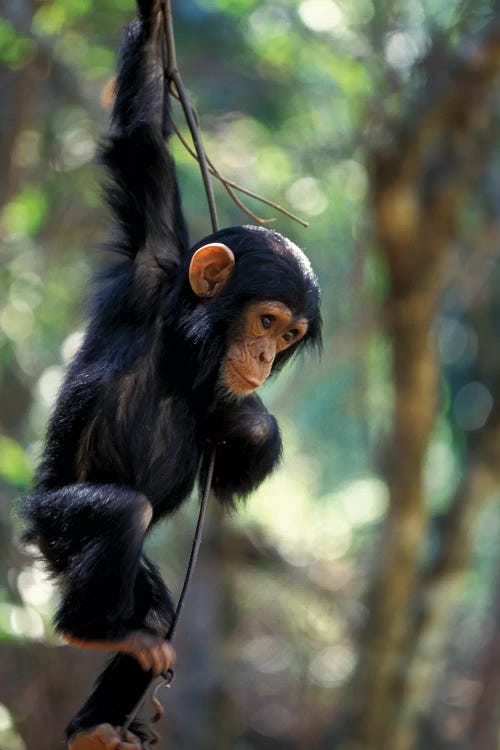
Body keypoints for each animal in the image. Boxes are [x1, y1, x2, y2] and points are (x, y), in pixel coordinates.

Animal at [20, 2, 320, 748]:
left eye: (290, 335)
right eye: (267, 320)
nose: (265, 359)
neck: (190, 348)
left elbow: (241, 448)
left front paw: (252, 423)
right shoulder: (152, 261)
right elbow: (139, 139)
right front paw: (155, 21)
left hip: (121, 576)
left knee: (158, 616)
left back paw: (99, 721)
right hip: (54, 523)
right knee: (122, 513)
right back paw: (89, 632)